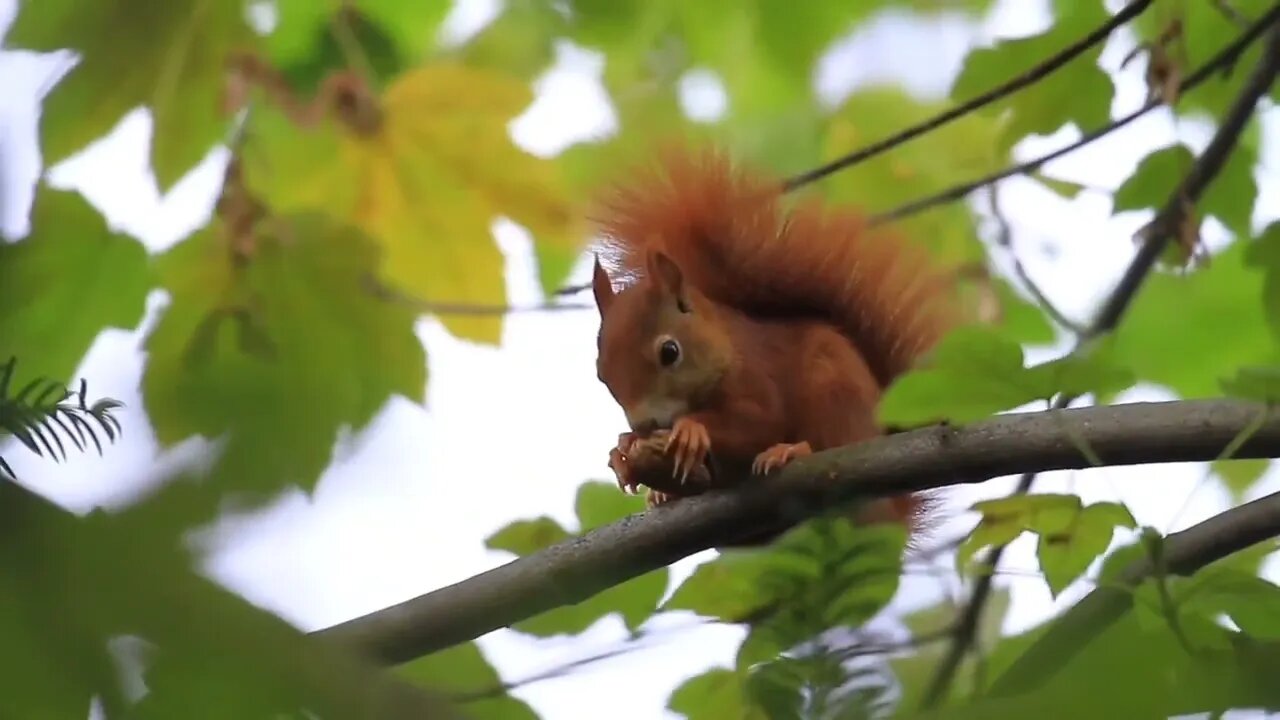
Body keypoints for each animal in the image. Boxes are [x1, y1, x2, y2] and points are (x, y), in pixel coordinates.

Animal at [586, 146, 957, 535]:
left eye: (670, 352)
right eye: (601, 373)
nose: (643, 425)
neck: (724, 348)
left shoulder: (758, 374)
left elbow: (760, 421)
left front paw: (691, 428)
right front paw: (624, 449)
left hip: (836, 392)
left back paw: (792, 451)